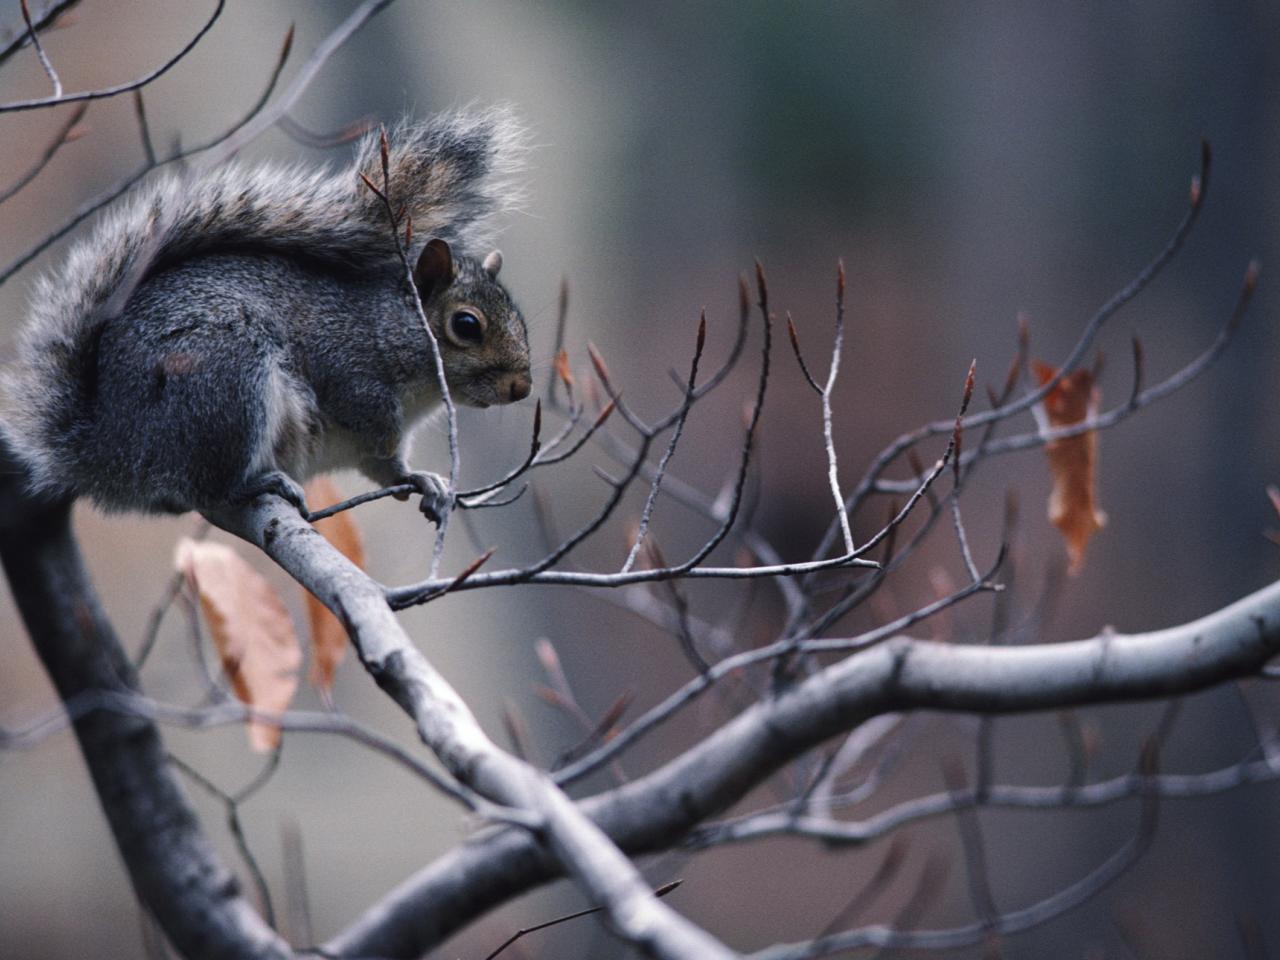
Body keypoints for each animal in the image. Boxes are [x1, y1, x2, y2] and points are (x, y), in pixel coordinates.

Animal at [0, 108, 529, 522]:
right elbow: (366, 421)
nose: (521, 388)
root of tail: (110, 447)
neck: (390, 329)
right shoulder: (350, 368)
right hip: (226, 380)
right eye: (466, 325)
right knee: (205, 483)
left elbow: (386, 468)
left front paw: (424, 482)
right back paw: (256, 484)